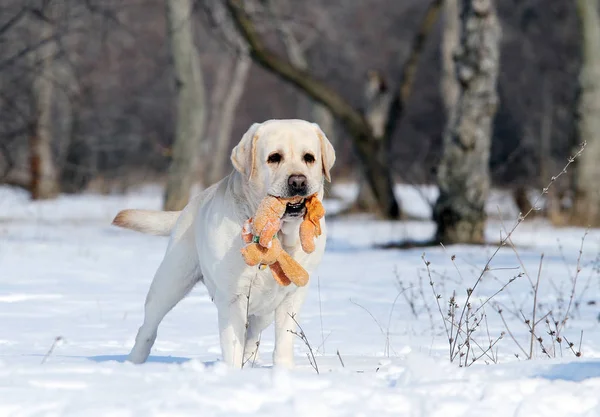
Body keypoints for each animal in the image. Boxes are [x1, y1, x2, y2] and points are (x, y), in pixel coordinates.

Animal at [113, 118, 332, 368]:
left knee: (253, 337)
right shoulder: (232, 297)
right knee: (148, 328)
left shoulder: (291, 296)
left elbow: (283, 342)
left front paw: (282, 371)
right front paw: (232, 374)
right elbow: (233, 346)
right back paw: (133, 363)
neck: (276, 236)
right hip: (170, 282)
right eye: (274, 157)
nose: (298, 182)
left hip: (265, 310)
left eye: (309, 157)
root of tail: (191, 204)